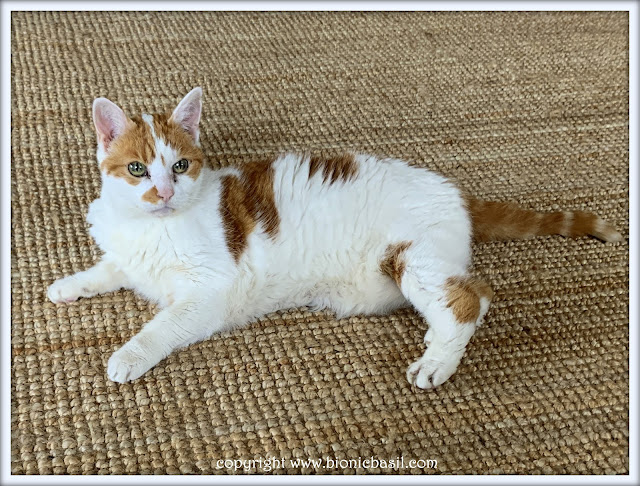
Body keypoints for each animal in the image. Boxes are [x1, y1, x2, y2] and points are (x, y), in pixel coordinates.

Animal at [47, 87, 624, 390]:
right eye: (138, 169)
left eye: (181, 166)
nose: (165, 191)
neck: (152, 227)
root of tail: (453, 190)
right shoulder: (129, 256)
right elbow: (107, 269)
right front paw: (67, 286)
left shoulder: (207, 293)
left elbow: (159, 326)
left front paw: (127, 355)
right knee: (470, 296)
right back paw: (436, 342)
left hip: (410, 259)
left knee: (469, 299)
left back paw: (437, 362)